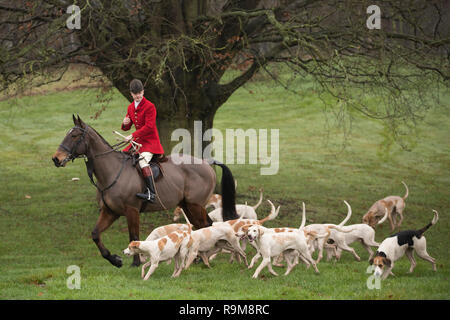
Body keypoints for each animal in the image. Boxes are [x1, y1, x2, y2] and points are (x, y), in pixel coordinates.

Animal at [51, 115, 239, 268]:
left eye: (74, 136)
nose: (56, 159)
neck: (112, 171)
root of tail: (206, 163)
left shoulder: (131, 210)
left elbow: (133, 235)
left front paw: (135, 262)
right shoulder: (110, 212)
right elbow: (95, 234)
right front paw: (115, 260)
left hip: (195, 205)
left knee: (205, 226)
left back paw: (203, 257)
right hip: (188, 206)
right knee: (202, 226)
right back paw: (199, 258)